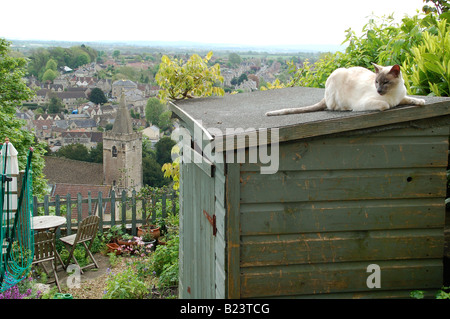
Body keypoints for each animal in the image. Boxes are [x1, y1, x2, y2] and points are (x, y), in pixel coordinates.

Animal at [264, 63, 426, 117]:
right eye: (376, 82)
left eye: (385, 82)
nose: (379, 90)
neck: (393, 94)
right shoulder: (370, 103)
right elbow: (386, 105)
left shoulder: (400, 98)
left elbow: (411, 99)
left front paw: (420, 102)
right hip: (338, 75)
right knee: (332, 107)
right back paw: (345, 109)